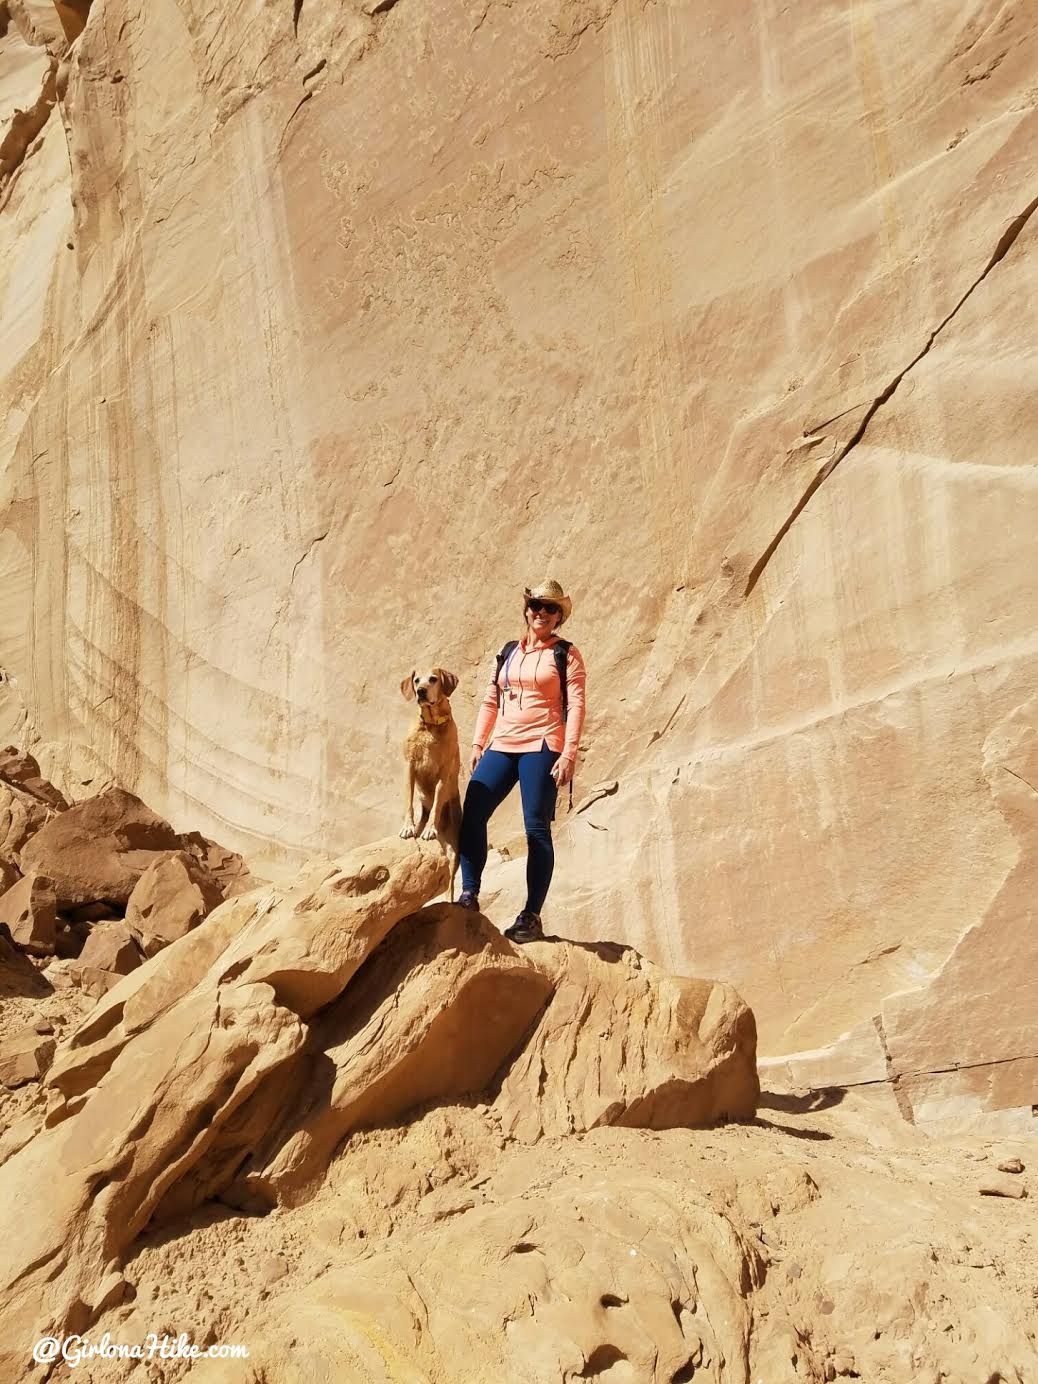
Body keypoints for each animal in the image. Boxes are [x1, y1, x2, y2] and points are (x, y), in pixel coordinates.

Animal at [401, 667, 462, 902]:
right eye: (416, 680)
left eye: (433, 679)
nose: (421, 691)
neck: (431, 726)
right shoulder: (409, 767)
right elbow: (408, 802)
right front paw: (408, 827)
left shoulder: (443, 774)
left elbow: (436, 804)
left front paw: (430, 829)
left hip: (453, 849)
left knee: (450, 880)